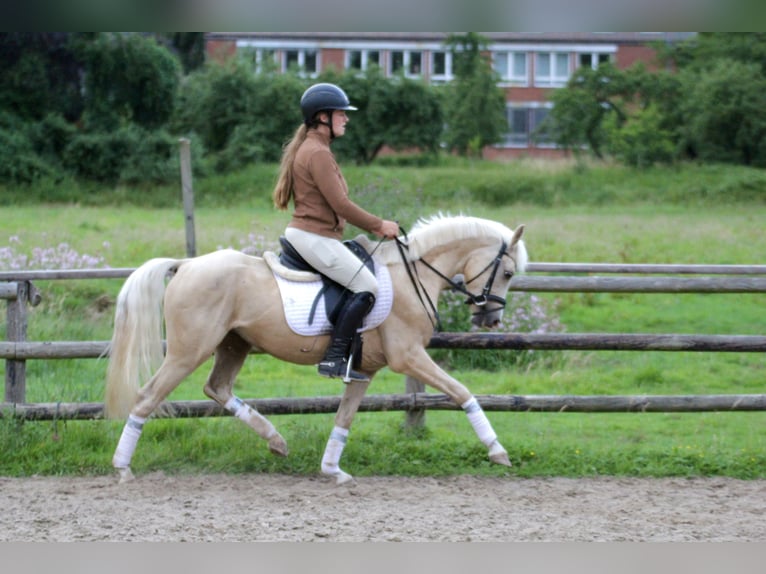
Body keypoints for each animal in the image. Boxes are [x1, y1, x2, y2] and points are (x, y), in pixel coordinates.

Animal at [105, 214, 527, 484]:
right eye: (507, 273)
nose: (490, 320)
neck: (414, 276)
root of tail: (186, 265)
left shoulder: (365, 370)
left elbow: (344, 418)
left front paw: (332, 470)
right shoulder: (409, 357)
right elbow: (462, 392)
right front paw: (497, 451)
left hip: (233, 344)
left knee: (218, 388)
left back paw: (276, 441)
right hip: (188, 351)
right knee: (147, 396)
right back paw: (123, 467)